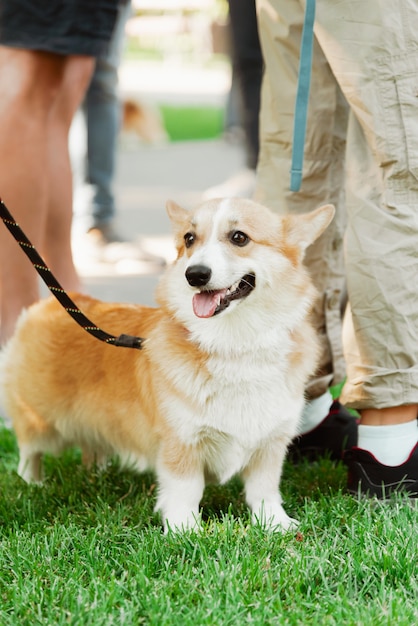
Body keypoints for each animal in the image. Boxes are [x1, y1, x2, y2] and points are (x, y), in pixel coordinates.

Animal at [0, 197, 334, 528]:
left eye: (239, 237)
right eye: (189, 239)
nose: (194, 274)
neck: (234, 342)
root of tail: (45, 306)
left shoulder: (271, 442)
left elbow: (263, 488)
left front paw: (275, 523)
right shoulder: (181, 441)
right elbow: (186, 490)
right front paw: (185, 529)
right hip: (40, 423)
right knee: (30, 451)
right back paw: (32, 484)